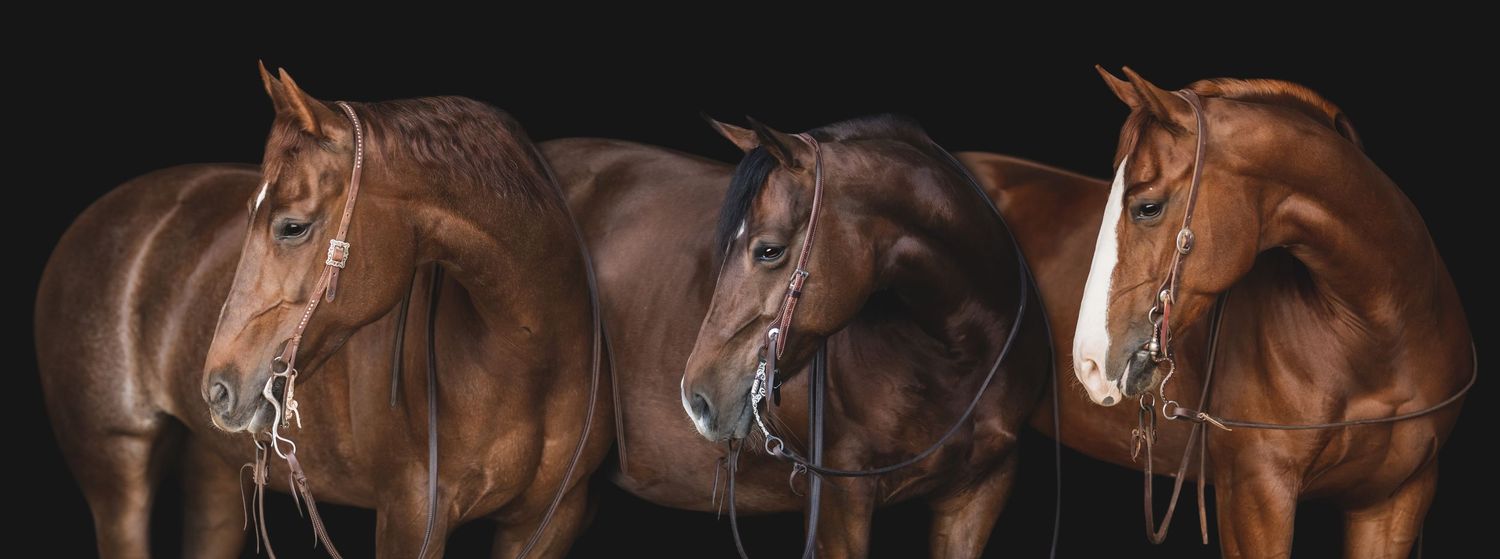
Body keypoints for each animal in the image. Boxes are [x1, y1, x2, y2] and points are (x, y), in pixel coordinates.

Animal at [36, 66, 613, 558]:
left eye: (292, 226)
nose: (218, 388)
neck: (529, 356)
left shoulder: (549, 522)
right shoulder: (410, 514)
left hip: (214, 473)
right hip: (117, 469)